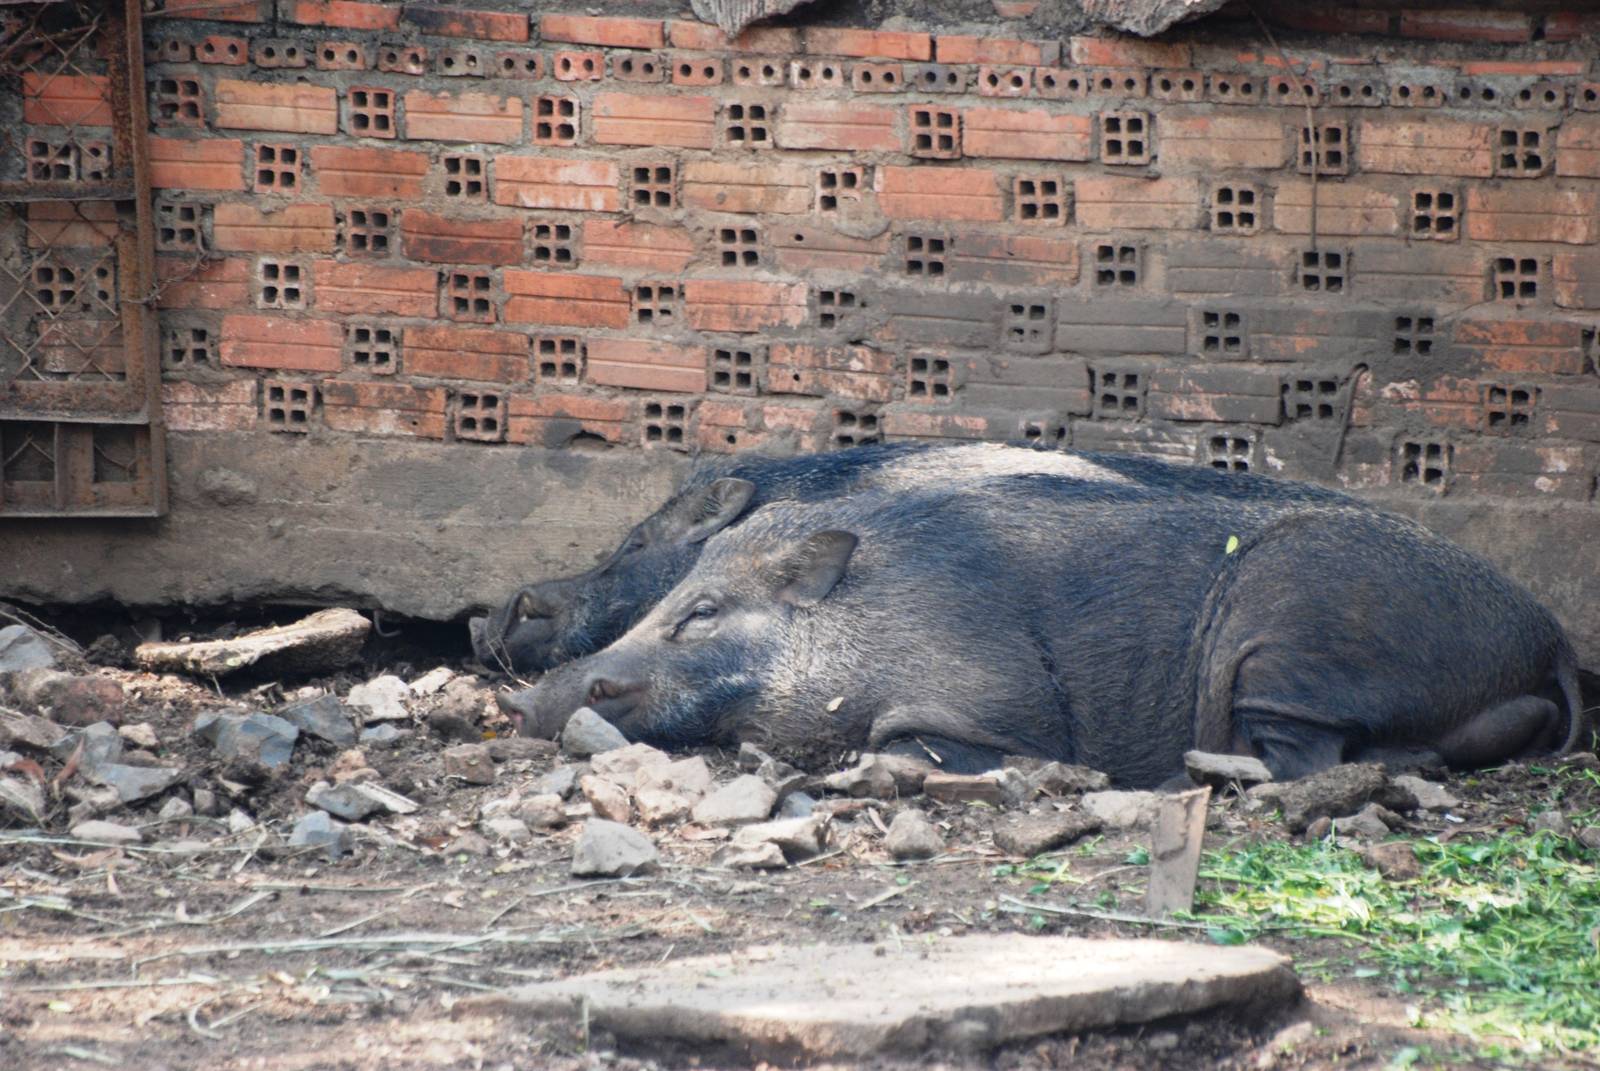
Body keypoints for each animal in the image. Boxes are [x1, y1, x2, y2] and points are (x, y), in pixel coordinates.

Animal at [501, 476, 1585, 786]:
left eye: (705, 611)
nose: (539, 698)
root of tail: (1552, 642)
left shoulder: (997, 704)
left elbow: (921, 744)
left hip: (1290, 646)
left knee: (1298, 757)